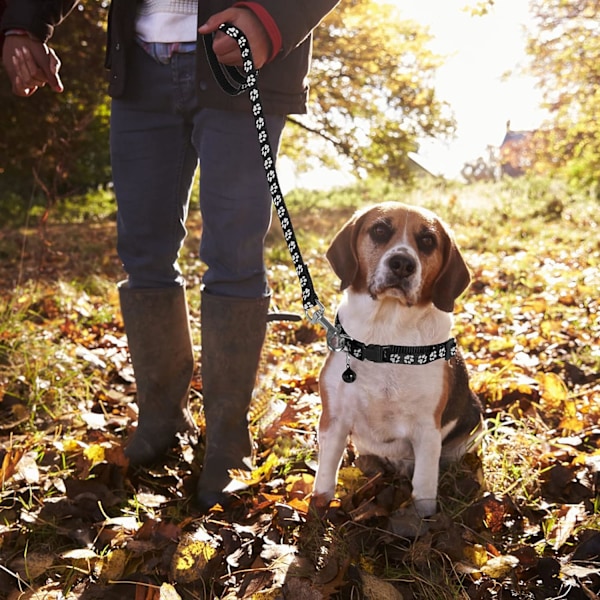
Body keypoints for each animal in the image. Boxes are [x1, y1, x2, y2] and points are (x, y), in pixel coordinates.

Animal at [312, 202, 486, 524]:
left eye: (428, 240)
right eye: (380, 230)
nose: (403, 264)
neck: (387, 336)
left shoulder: (427, 430)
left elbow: (424, 486)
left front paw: (422, 522)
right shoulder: (334, 420)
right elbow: (325, 479)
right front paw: (315, 516)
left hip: (473, 428)